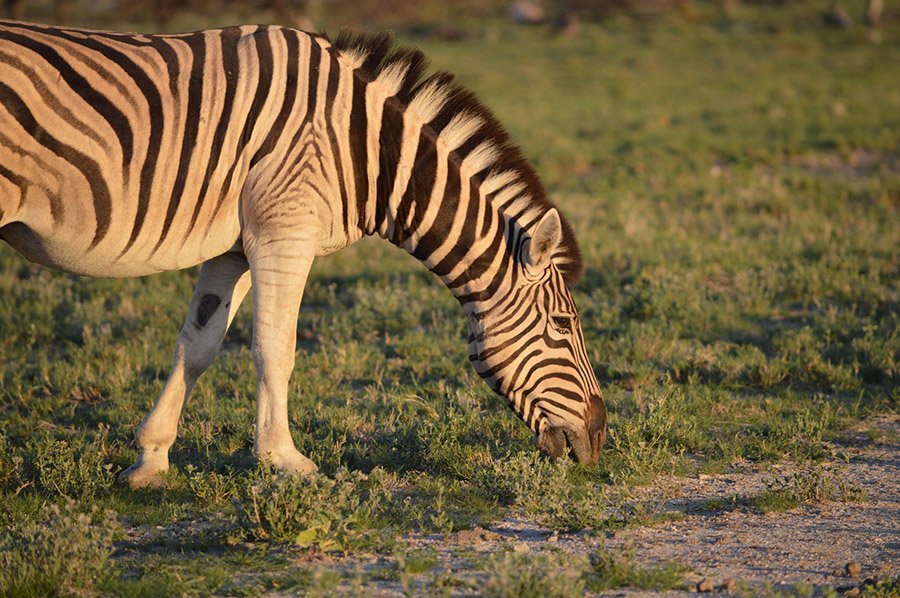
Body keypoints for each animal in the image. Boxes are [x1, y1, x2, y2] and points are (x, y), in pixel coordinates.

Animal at [0, 20, 607, 488]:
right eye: (562, 324)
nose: (600, 438)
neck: (364, 150)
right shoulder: (283, 231)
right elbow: (276, 347)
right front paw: (284, 460)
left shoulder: (235, 244)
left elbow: (198, 344)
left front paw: (151, 458)